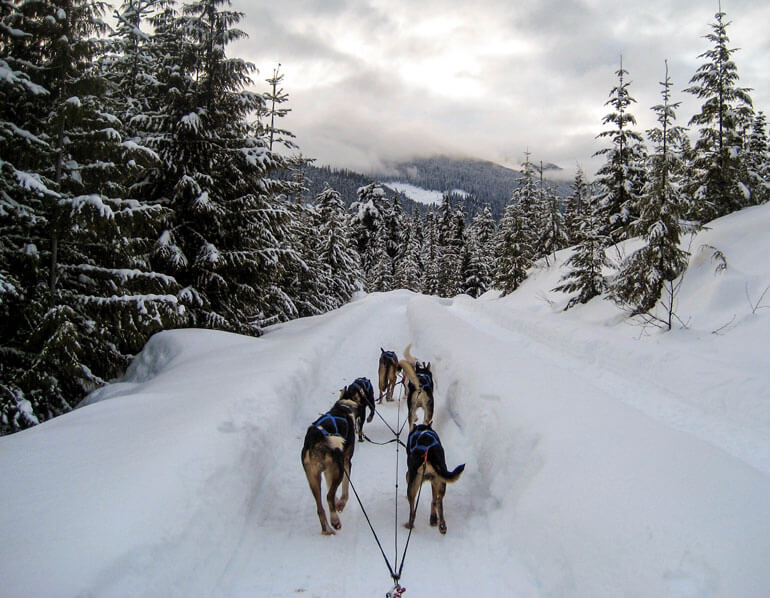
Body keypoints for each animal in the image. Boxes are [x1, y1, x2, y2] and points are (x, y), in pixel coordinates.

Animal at [302, 400, 358, 536]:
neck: (343, 408)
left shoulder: (328, 471)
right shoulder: (346, 463)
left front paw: (337, 501)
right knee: (328, 497)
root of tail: (316, 438)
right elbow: (345, 490)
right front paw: (341, 503)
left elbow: (329, 485)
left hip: (313, 478)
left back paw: (327, 529)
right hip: (339, 470)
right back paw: (335, 521)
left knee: (320, 507)